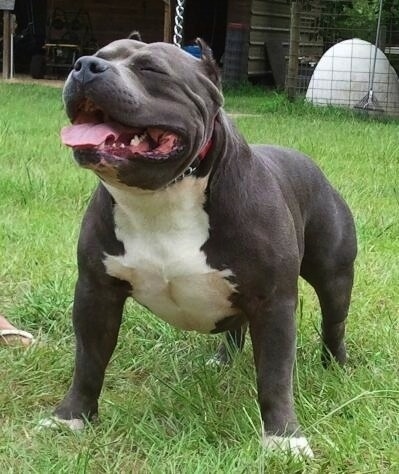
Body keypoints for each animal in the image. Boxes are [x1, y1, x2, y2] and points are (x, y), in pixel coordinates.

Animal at [54, 38, 360, 456]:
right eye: (97, 54)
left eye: (151, 69)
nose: (84, 66)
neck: (161, 196)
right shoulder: (95, 291)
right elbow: (88, 359)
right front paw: (72, 417)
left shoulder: (273, 302)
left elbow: (275, 375)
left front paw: (284, 438)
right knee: (236, 325)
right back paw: (224, 360)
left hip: (334, 276)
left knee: (334, 322)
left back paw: (335, 366)